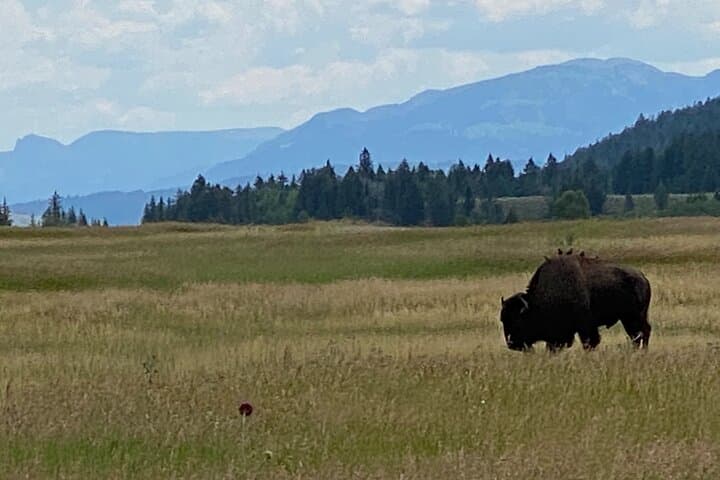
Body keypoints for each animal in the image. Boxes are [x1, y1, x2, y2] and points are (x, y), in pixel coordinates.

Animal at [500, 251, 652, 352]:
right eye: (503, 319)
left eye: (517, 320)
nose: (511, 344)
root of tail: (642, 278)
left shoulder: (586, 327)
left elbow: (589, 342)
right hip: (628, 318)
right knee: (638, 334)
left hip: (635, 316)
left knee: (642, 333)